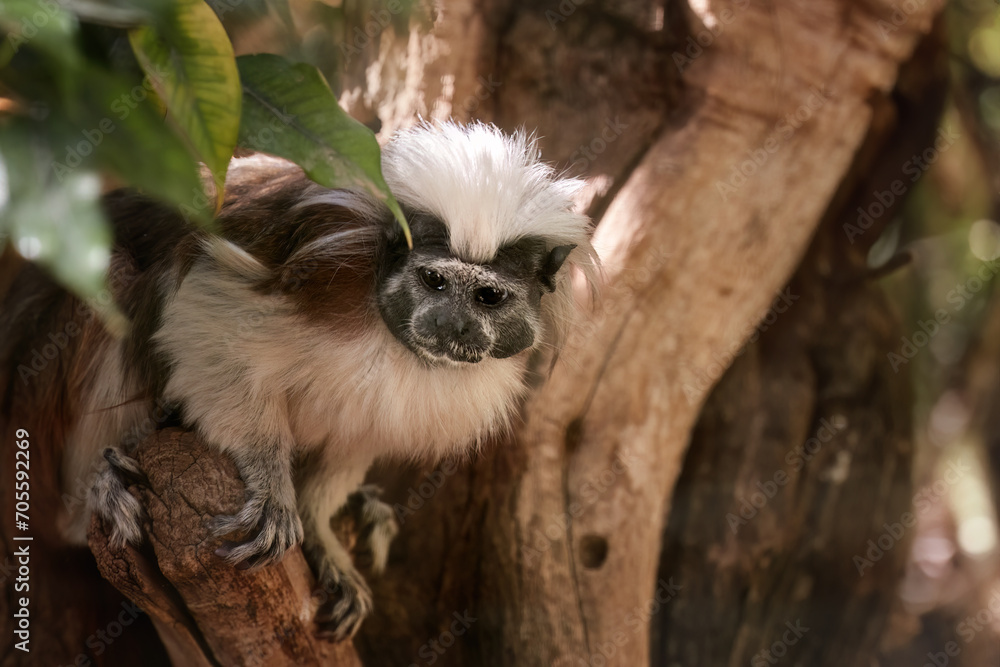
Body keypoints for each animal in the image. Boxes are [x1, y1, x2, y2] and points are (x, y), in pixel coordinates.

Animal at [0, 121, 598, 641]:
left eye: (488, 297)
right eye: (433, 281)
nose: (450, 325)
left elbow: (356, 436)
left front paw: (322, 535)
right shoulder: (325, 266)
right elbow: (205, 313)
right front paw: (270, 482)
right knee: (117, 278)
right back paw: (100, 487)